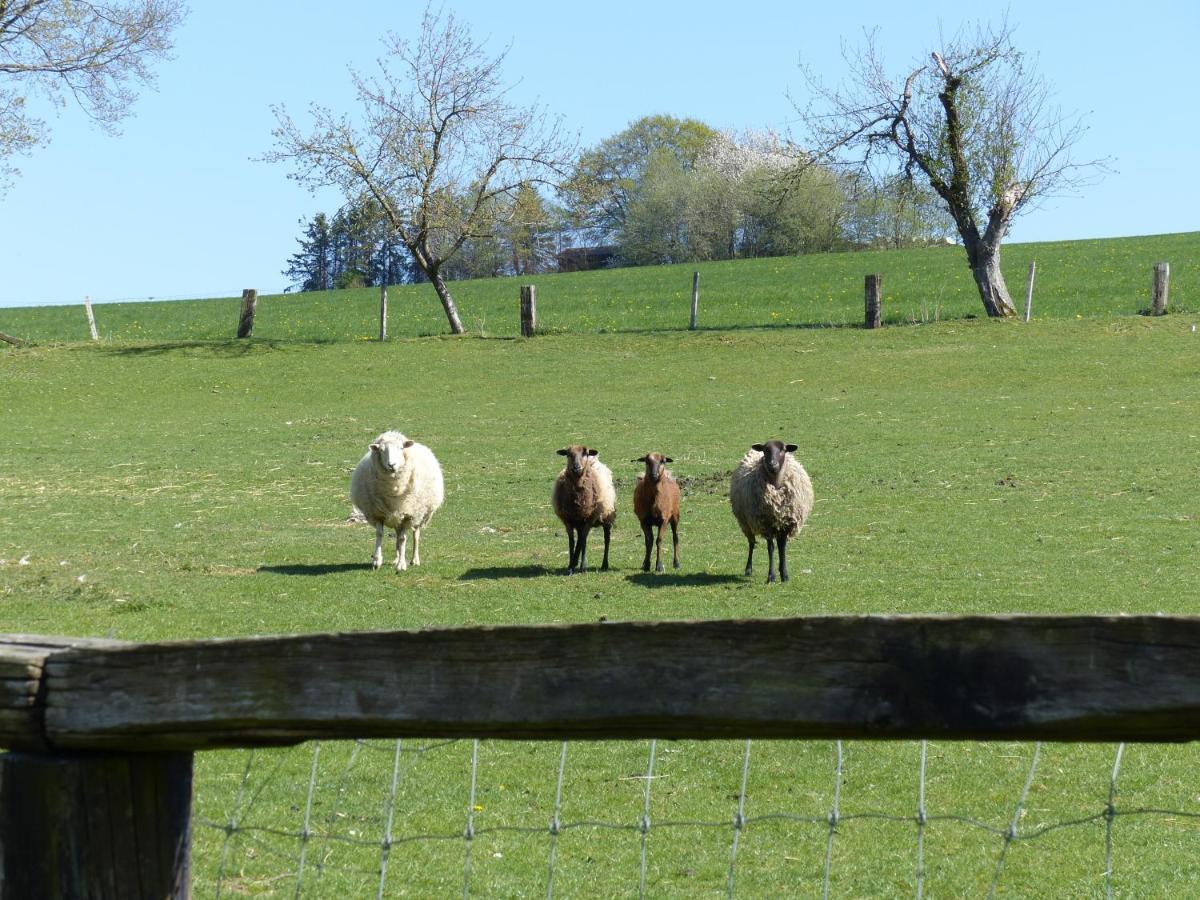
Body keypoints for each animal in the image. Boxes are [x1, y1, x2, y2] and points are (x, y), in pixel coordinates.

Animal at [350, 432, 446, 573]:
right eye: (381, 450)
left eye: (401, 448)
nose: (392, 465)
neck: (393, 490)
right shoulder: (378, 513)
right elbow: (380, 534)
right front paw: (377, 561)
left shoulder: (408, 514)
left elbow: (403, 538)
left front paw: (401, 564)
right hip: (396, 516)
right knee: (397, 534)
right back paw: (396, 558)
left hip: (419, 514)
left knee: (415, 534)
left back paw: (414, 560)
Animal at [724, 441, 811, 585]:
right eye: (766, 450)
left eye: (783, 449)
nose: (772, 464)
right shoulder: (766, 523)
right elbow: (771, 548)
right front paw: (771, 576)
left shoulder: (786, 523)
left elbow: (782, 548)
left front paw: (784, 575)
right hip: (746, 523)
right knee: (751, 543)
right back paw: (748, 569)